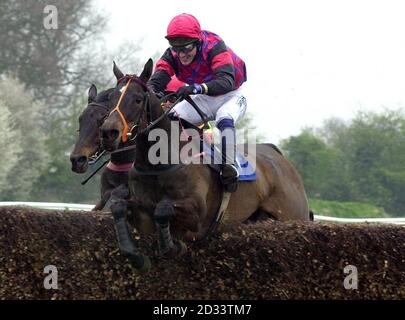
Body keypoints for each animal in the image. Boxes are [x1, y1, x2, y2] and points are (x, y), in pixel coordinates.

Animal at [98, 58, 310, 272]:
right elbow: (118, 207)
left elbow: (163, 209)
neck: (158, 163)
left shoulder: (197, 213)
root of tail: (278, 155)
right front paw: (137, 256)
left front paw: (174, 246)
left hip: (293, 217)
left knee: (225, 119)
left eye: (138, 99)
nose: (109, 132)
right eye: (111, 98)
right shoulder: (142, 212)